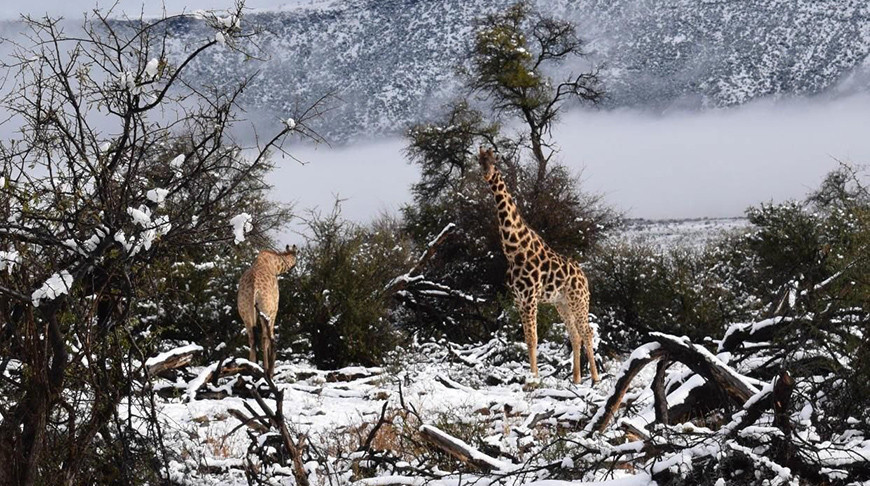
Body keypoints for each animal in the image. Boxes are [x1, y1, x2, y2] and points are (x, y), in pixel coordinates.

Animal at [237, 245, 298, 378]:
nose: (293, 266)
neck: (275, 265)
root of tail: (253, 287)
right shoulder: (275, 308)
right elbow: (271, 337)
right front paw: (271, 370)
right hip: (265, 310)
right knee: (264, 338)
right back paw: (266, 370)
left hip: (244, 311)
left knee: (252, 339)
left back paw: (252, 368)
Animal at [476, 148, 600, 384]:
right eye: (479, 162)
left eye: (494, 160)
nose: (486, 175)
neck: (514, 249)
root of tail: (585, 277)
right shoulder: (518, 299)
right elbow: (527, 339)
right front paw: (531, 377)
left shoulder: (530, 297)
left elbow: (533, 339)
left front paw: (533, 379)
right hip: (562, 303)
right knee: (575, 334)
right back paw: (577, 379)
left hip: (579, 300)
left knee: (587, 332)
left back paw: (596, 378)